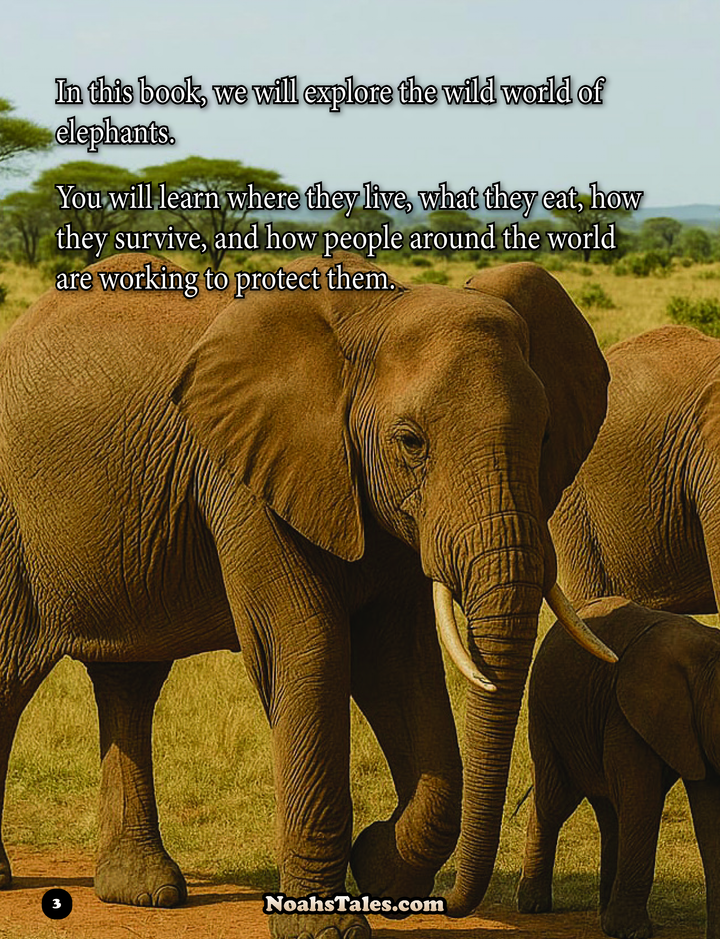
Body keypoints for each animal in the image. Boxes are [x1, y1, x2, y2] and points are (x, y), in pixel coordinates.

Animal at [0, 251, 611, 939]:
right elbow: (309, 646)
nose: (453, 903)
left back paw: (143, 890)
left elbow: (398, 661)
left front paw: (382, 872)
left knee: (131, 680)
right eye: (410, 442)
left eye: (545, 437)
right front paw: (330, 926)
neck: (377, 310)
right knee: (10, 675)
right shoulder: (245, 476)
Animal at [518, 596, 720, 939]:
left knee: (611, 811)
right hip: (546, 715)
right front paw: (630, 932)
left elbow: (709, 818)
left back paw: (604, 915)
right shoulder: (627, 712)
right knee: (554, 802)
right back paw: (533, 906)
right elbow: (642, 800)